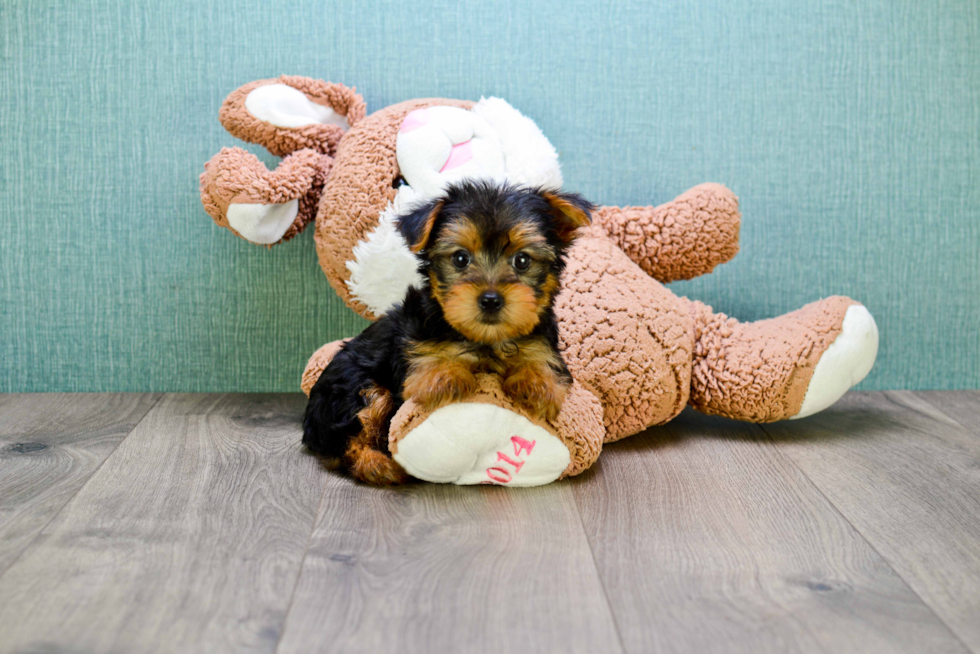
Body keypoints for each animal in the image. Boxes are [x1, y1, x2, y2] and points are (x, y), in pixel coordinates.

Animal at [300, 182, 588, 484]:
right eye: (460, 258)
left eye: (522, 260)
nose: (491, 299)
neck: (484, 339)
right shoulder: (413, 351)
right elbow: (431, 365)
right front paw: (447, 376)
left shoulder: (543, 343)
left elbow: (541, 361)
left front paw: (536, 385)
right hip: (350, 391)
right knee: (348, 438)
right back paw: (378, 465)